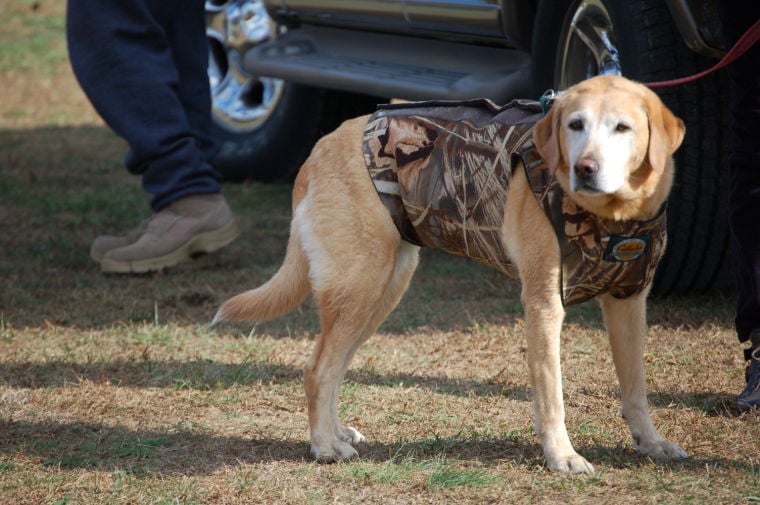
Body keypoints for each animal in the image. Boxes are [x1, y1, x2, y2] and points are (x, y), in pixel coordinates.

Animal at [214, 75, 688, 472]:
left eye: (622, 128)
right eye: (575, 125)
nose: (585, 168)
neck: (614, 216)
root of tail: (318, 149)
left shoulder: (629, 303)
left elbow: (636, 388)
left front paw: (651, 443)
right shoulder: (544, 305)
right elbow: (552, 395)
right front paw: (562, 456)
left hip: (381, 291)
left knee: (333, 367)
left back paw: (335, 433)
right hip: (361, 286)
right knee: (317, 369)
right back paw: (324, 445)